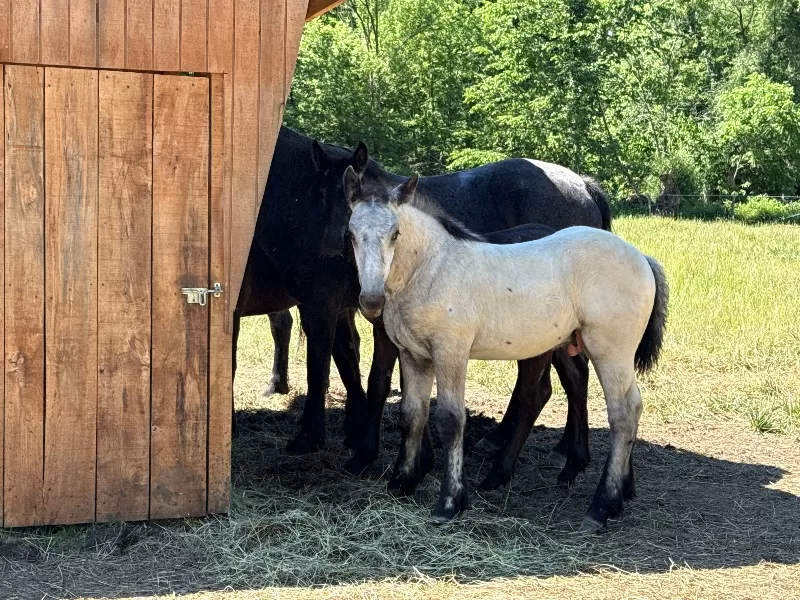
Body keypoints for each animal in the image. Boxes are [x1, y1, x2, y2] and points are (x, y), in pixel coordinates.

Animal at [344, 167, 669, 532]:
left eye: (395, 233)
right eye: (351, 234)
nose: (372, 300)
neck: (432, 269)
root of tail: (642, 258)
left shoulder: (451, 353)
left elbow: (450, 420)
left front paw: (450, 502)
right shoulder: (415, 356)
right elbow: (412, 415)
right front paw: (402, 482)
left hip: (610, 350)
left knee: (622, 413)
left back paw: (601, 506)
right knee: (624, 404)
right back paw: (621, 493)